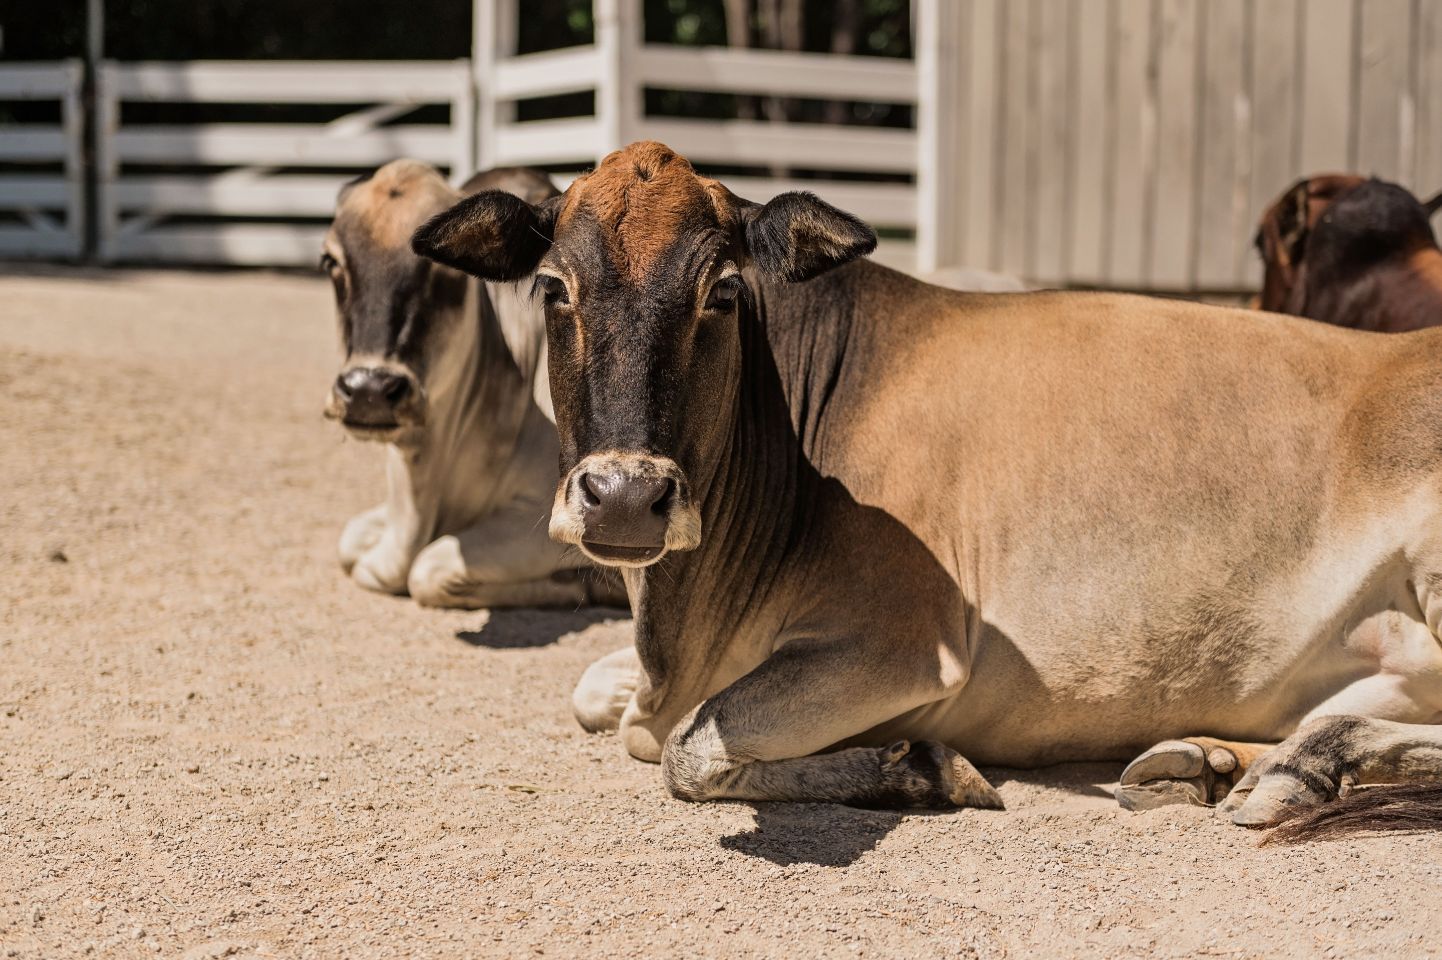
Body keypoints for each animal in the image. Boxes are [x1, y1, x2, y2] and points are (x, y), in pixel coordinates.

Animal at [322, 159, 625, 610]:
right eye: (330, 262)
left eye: (444, 268)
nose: (368, 390)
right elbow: (351, 543)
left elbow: (428, 568)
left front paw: (580, 583)